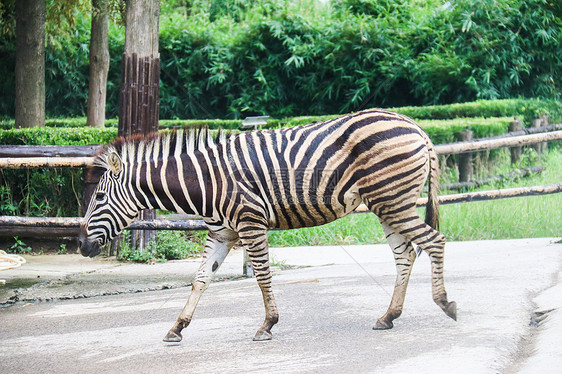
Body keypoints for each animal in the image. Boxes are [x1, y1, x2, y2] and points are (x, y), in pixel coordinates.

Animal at [79, 108, 456, 342]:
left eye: (99, 198)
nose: (81, 246)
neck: (205, 182)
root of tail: (415, 125)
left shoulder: (250, 222)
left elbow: (261, 274)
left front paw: (267, 324)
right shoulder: (222, 232)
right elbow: (200, 278)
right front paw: (177, 327)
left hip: (393, 199)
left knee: (434, 241)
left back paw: (444, 303)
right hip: (387, 204)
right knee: (406, 254)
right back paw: (388, 316)